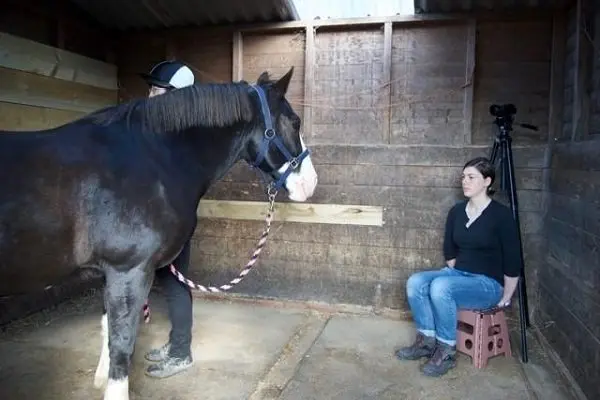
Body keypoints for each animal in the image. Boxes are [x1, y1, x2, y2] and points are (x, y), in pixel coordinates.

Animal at [0, 67, 318, 400]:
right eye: (295, 122)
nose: (310, 183)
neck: (151, 159)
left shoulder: (113, 272)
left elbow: (108, 327)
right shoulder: (129, 270)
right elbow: (122, 344)